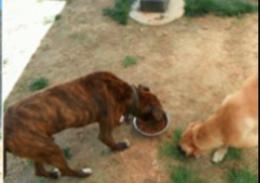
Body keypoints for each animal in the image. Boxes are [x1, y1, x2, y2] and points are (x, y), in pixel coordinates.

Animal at [4, 71, 167, 179]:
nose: (163, 119)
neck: (127, 94)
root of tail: (5, 135)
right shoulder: (106, 129)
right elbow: (109, 140)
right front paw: (119, 146)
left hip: (39, 149)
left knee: (39, 171)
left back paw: (52, 174)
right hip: (51, 148)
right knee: (65, 170)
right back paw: (82, 173)